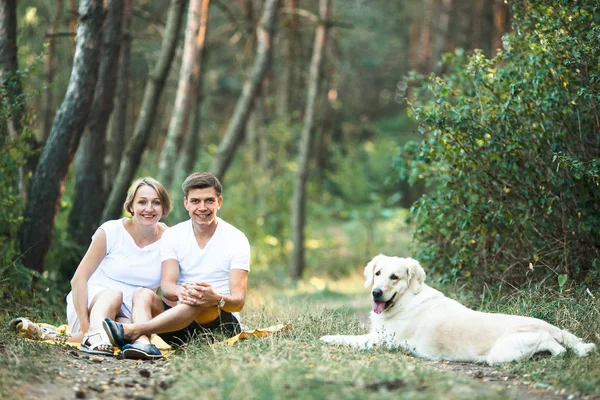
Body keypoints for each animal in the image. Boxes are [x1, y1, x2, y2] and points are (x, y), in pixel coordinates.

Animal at [322, 255, 592, 364]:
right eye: (377, 273)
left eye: (394, 277)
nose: (376, 292)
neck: (407, 299)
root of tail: (548, 325)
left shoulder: (380, 341)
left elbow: (349, 338)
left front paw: (327, 337)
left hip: (505, 351)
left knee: (551, 343)